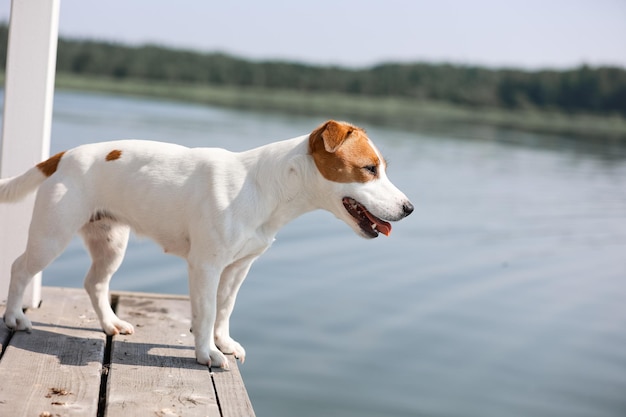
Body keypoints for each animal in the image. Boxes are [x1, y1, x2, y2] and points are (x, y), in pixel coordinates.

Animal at [2, 119, 412, 368]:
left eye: (382, 168)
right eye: (369, 169)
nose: (409, 208)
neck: (263, 187)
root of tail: (62, 157)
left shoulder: (237, 268)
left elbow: (224, 309)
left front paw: (222, 343)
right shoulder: (206, 265)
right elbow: (207, 311)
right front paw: (206, 353)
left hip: (111, 244)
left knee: (95, 283)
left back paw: (110, 324)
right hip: (52, 236)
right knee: (20, 268)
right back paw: (15, 317)